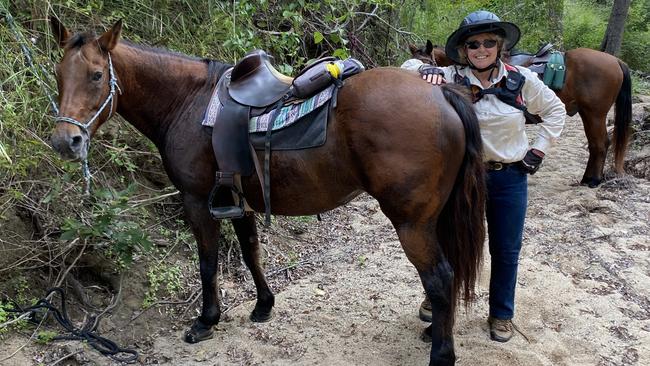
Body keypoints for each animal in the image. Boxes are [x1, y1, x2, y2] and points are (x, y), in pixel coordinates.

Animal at [49, 18, 486, 364]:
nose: (65, 141)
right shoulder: (237, 199)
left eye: (96, 76)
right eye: (58, 75)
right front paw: (263, 305)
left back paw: (441, 352)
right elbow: (250, 251)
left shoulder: (197, 201)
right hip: (434, 217)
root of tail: (441, 93)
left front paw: (206, 321)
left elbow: (207, 262)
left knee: (439, 277)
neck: (187, 102)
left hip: (411, 221)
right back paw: (433, 331)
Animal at [408, 41, 632, 187]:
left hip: (594, 114)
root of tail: (616, 61)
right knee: (596, 145)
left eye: (428, 61)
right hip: (588, 114)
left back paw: (593, 180)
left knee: (600, 144)